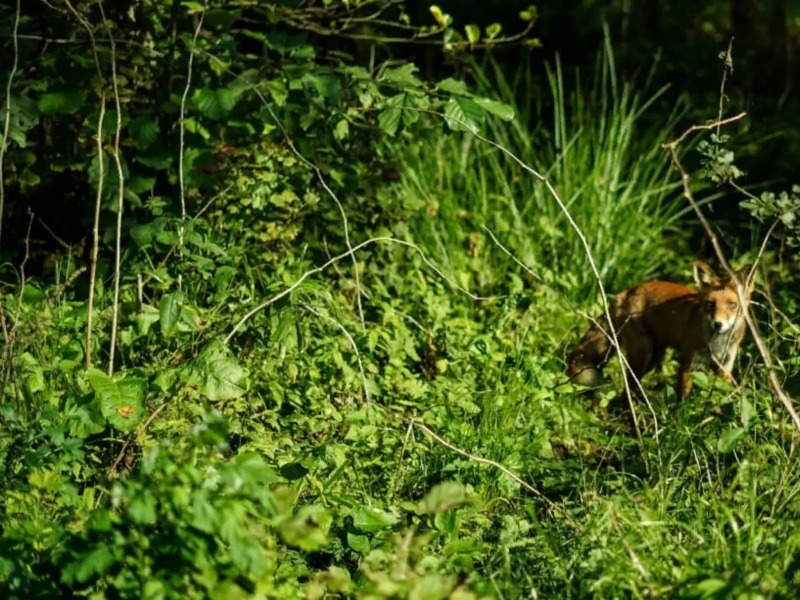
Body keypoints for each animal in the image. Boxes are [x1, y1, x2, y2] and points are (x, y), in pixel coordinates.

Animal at [567, 260, 755, 400]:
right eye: (710, 304)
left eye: (732, 305)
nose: (718, 324)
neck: (717, 343)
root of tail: (627, 291)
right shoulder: (689, 363)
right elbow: (682, 397)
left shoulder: (725, 367)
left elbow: (722, 394)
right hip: (642, 355)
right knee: (627, 389)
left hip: (652, 359)